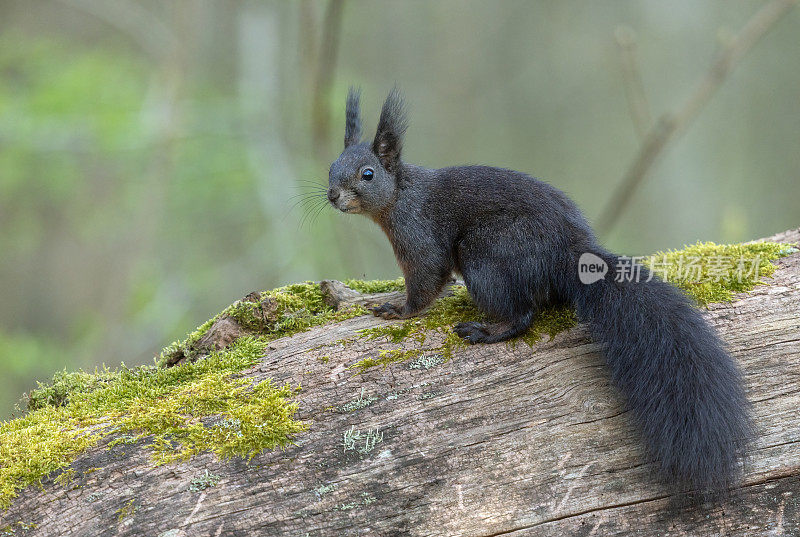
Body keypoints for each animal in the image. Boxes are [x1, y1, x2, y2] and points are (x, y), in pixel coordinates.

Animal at [324, 87, 752, 494]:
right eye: (332, 167)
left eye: (367, 174)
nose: (332, 195)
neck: (401, 194)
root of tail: (569, 256)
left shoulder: (419, 235)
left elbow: (427, 279)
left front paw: (398, 309)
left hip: (486, 253)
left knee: (522, 316)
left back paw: (485, 331)